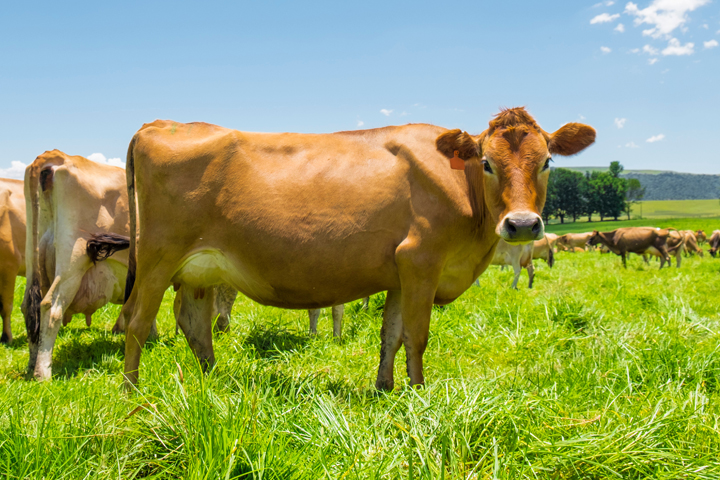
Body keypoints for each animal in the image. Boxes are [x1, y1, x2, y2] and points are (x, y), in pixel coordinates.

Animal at [90, 107, 595, 390]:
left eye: (547, 162)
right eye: (487, 162)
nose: (523, 224)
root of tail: (162, 123)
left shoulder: (400, 272)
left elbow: (391, 334)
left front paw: (386, 387)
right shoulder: (421, 260)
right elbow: (418, 335)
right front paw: (421, 395)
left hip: (200, 268)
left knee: (194, 324)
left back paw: (214, 383)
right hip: (156, 259)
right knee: (137, 324)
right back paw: (133, 395)